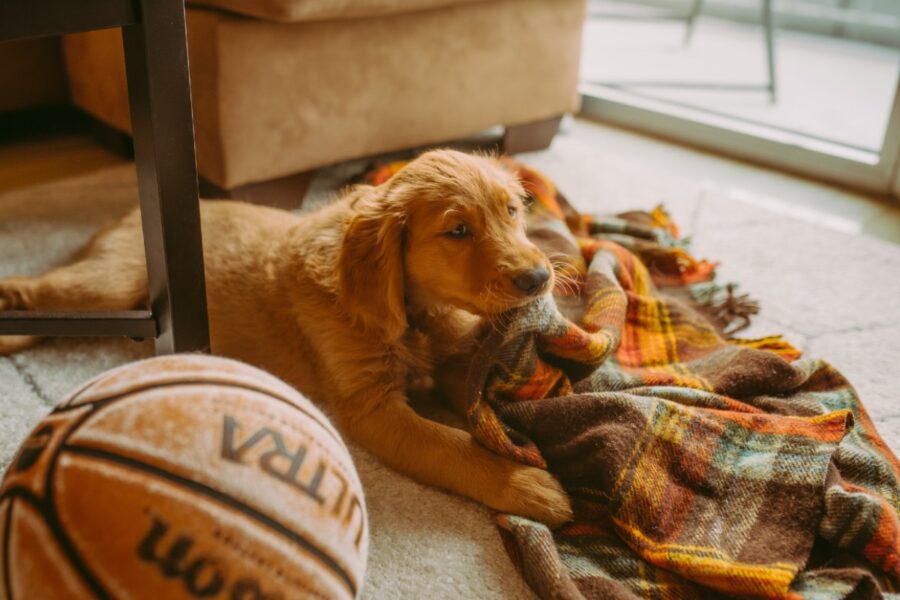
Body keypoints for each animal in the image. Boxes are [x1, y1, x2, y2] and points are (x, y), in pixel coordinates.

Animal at [0, 149, 572, 524]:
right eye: (457, 231)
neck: (414, 314)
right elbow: (449, 444)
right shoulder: (371, 407)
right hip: (112, 285)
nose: (539, 277)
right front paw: (522, 484)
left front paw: (531, 434)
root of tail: (129, 218)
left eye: (513, 211)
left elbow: (479, 404)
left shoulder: (450, 362)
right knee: (39, 288)